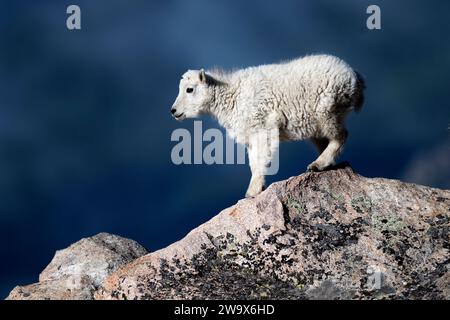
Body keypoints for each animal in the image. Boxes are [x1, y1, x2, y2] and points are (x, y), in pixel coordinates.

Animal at [171, 55, 364, 198]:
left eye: (189, 89)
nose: (173, 111)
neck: (231, 95)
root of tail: (356, 77)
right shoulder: (250, 136)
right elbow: (253, 162)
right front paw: (256, 188)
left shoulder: (262, 127)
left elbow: (260, 159)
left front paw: (253, 191)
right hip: (316, 124)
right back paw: (323, 164)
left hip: (327, 110)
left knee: (341, 135)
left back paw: (318, 164)